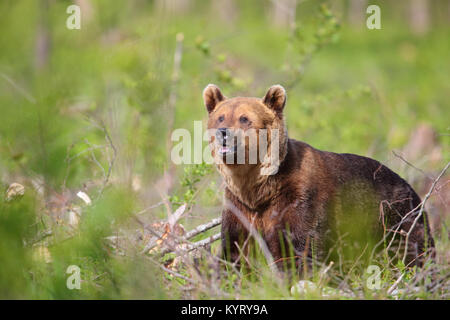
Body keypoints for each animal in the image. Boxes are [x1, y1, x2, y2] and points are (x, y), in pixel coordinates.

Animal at [205, 84, 436, 272]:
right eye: (221, 117)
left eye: (244, 118)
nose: (223, 132)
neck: (259, 189)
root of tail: (410, 188)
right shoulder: (239, 205)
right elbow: (235, 249)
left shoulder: (300, 198)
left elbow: (303, 246)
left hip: (396, 218)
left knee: (412, 250)